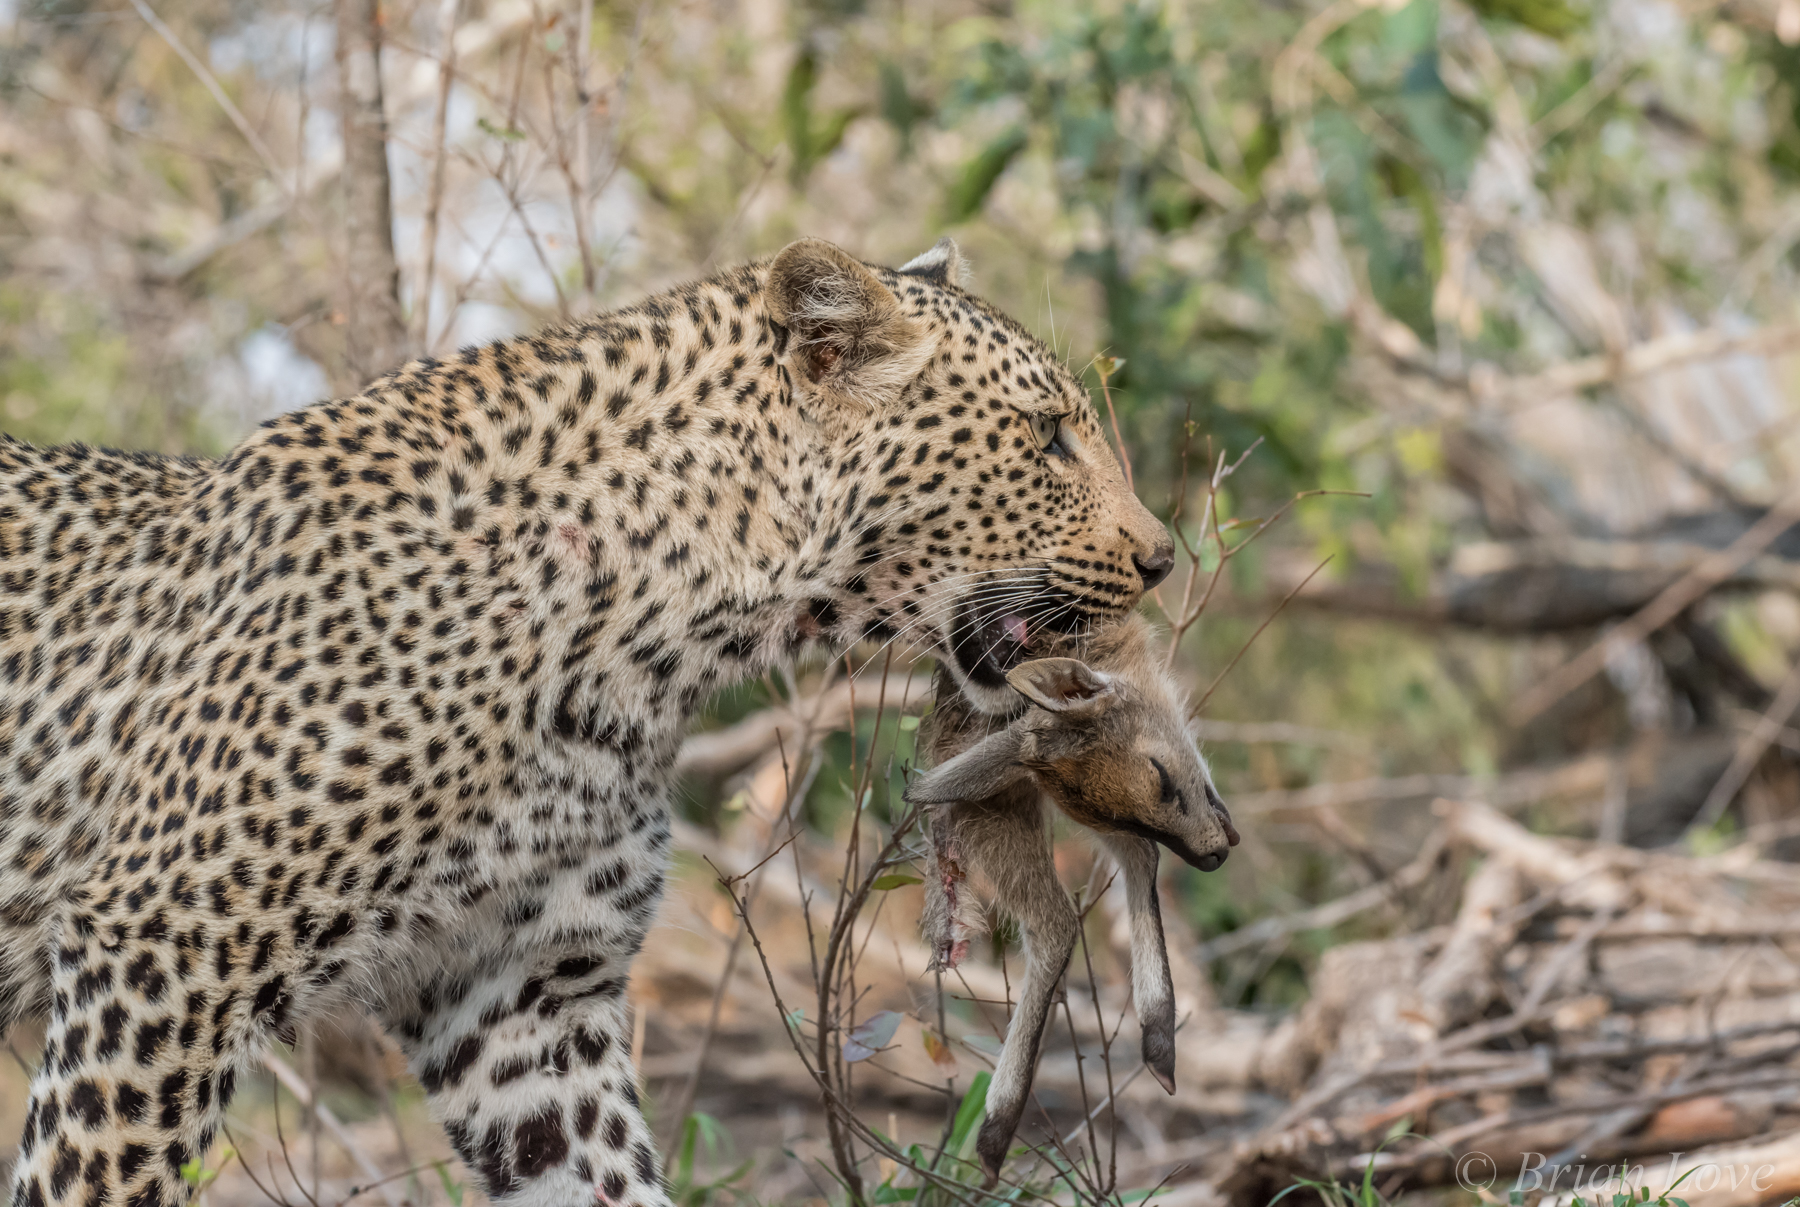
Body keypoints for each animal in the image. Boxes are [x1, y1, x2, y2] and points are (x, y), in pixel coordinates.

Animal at [0, 236, 1173, 1207]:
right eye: (1049, 437)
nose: (1164, 558)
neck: (655, 646)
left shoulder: (523, 998)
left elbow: (610, 1177)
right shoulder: (167, 949)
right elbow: (91, 1172)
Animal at [902, 613, 1239, 1183]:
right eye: (1160, 780)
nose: (1214, 855)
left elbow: (1142, 854)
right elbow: (1142, 854)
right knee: (1059, 918)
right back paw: (996, 1135)